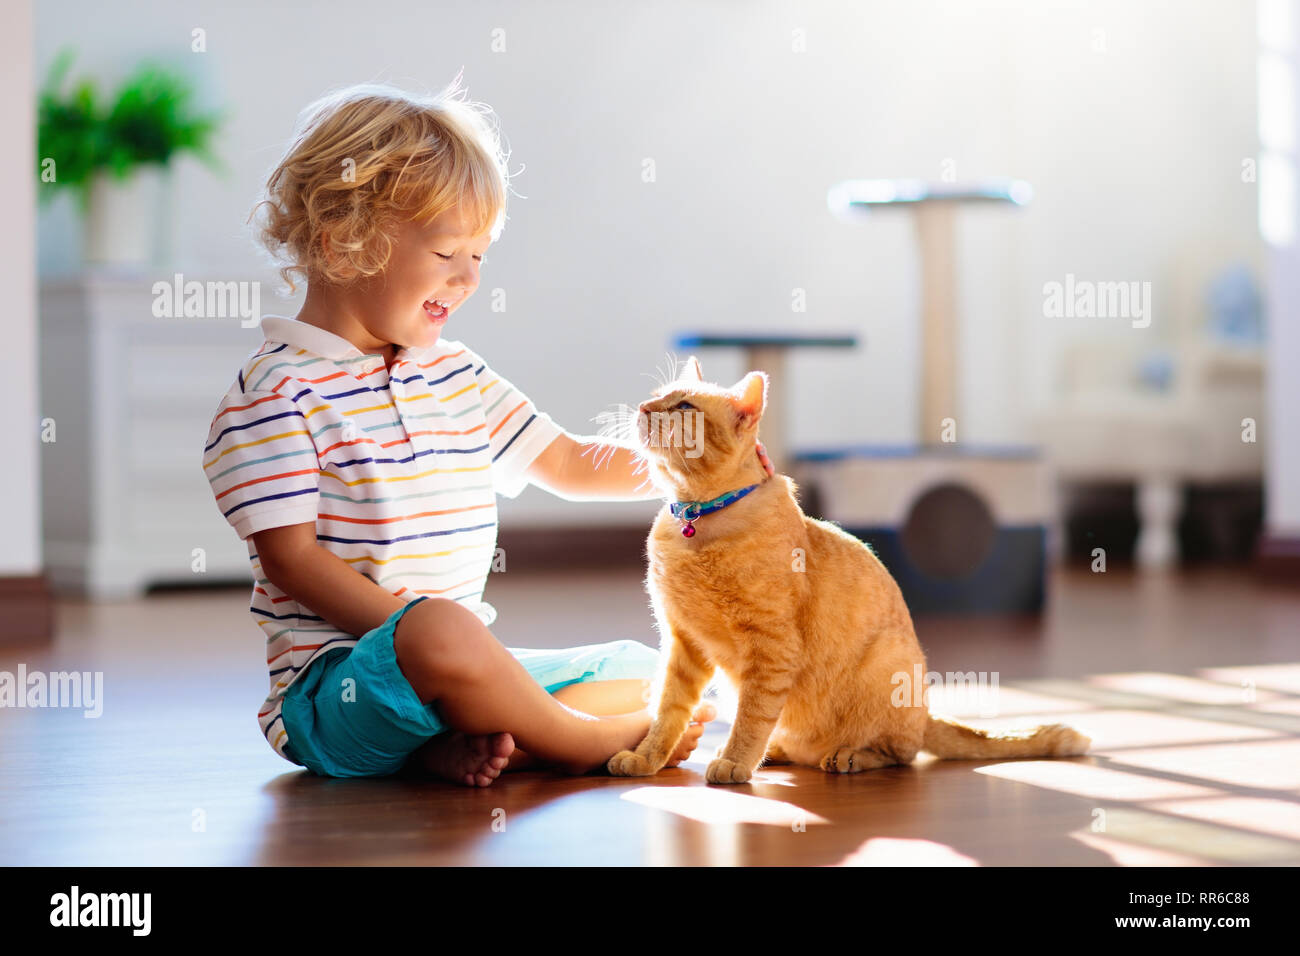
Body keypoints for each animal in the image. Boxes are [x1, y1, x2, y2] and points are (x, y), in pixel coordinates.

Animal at [603, 356, 1092, 785]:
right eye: (659, 396)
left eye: (684, 407)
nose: (643, 408)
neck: (697, 523)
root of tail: (926, 711)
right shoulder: (683, 644)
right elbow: (667, 713)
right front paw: (647, 758)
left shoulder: (770, 648)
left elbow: (751, 716)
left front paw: (735, 761)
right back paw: (775, 752)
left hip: (887, 666)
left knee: (900, 753)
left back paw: (847, 756)